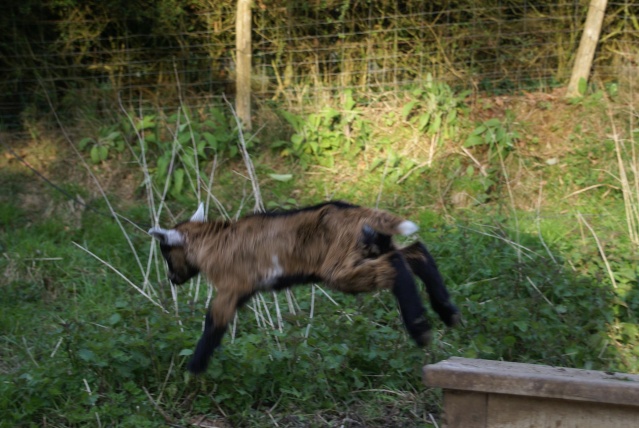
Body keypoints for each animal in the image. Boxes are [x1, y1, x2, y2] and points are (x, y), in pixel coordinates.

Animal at [149, 202, 460, 372]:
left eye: (166, 253)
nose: (172, 279)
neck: (212, 241)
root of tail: (359, 213)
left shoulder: (231, 287)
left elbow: (213, 323)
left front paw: (193, 370)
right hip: (373, 249)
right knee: (414, 252)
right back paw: (447, 312)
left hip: (340, 269)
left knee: (396, 266)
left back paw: (420, 329)